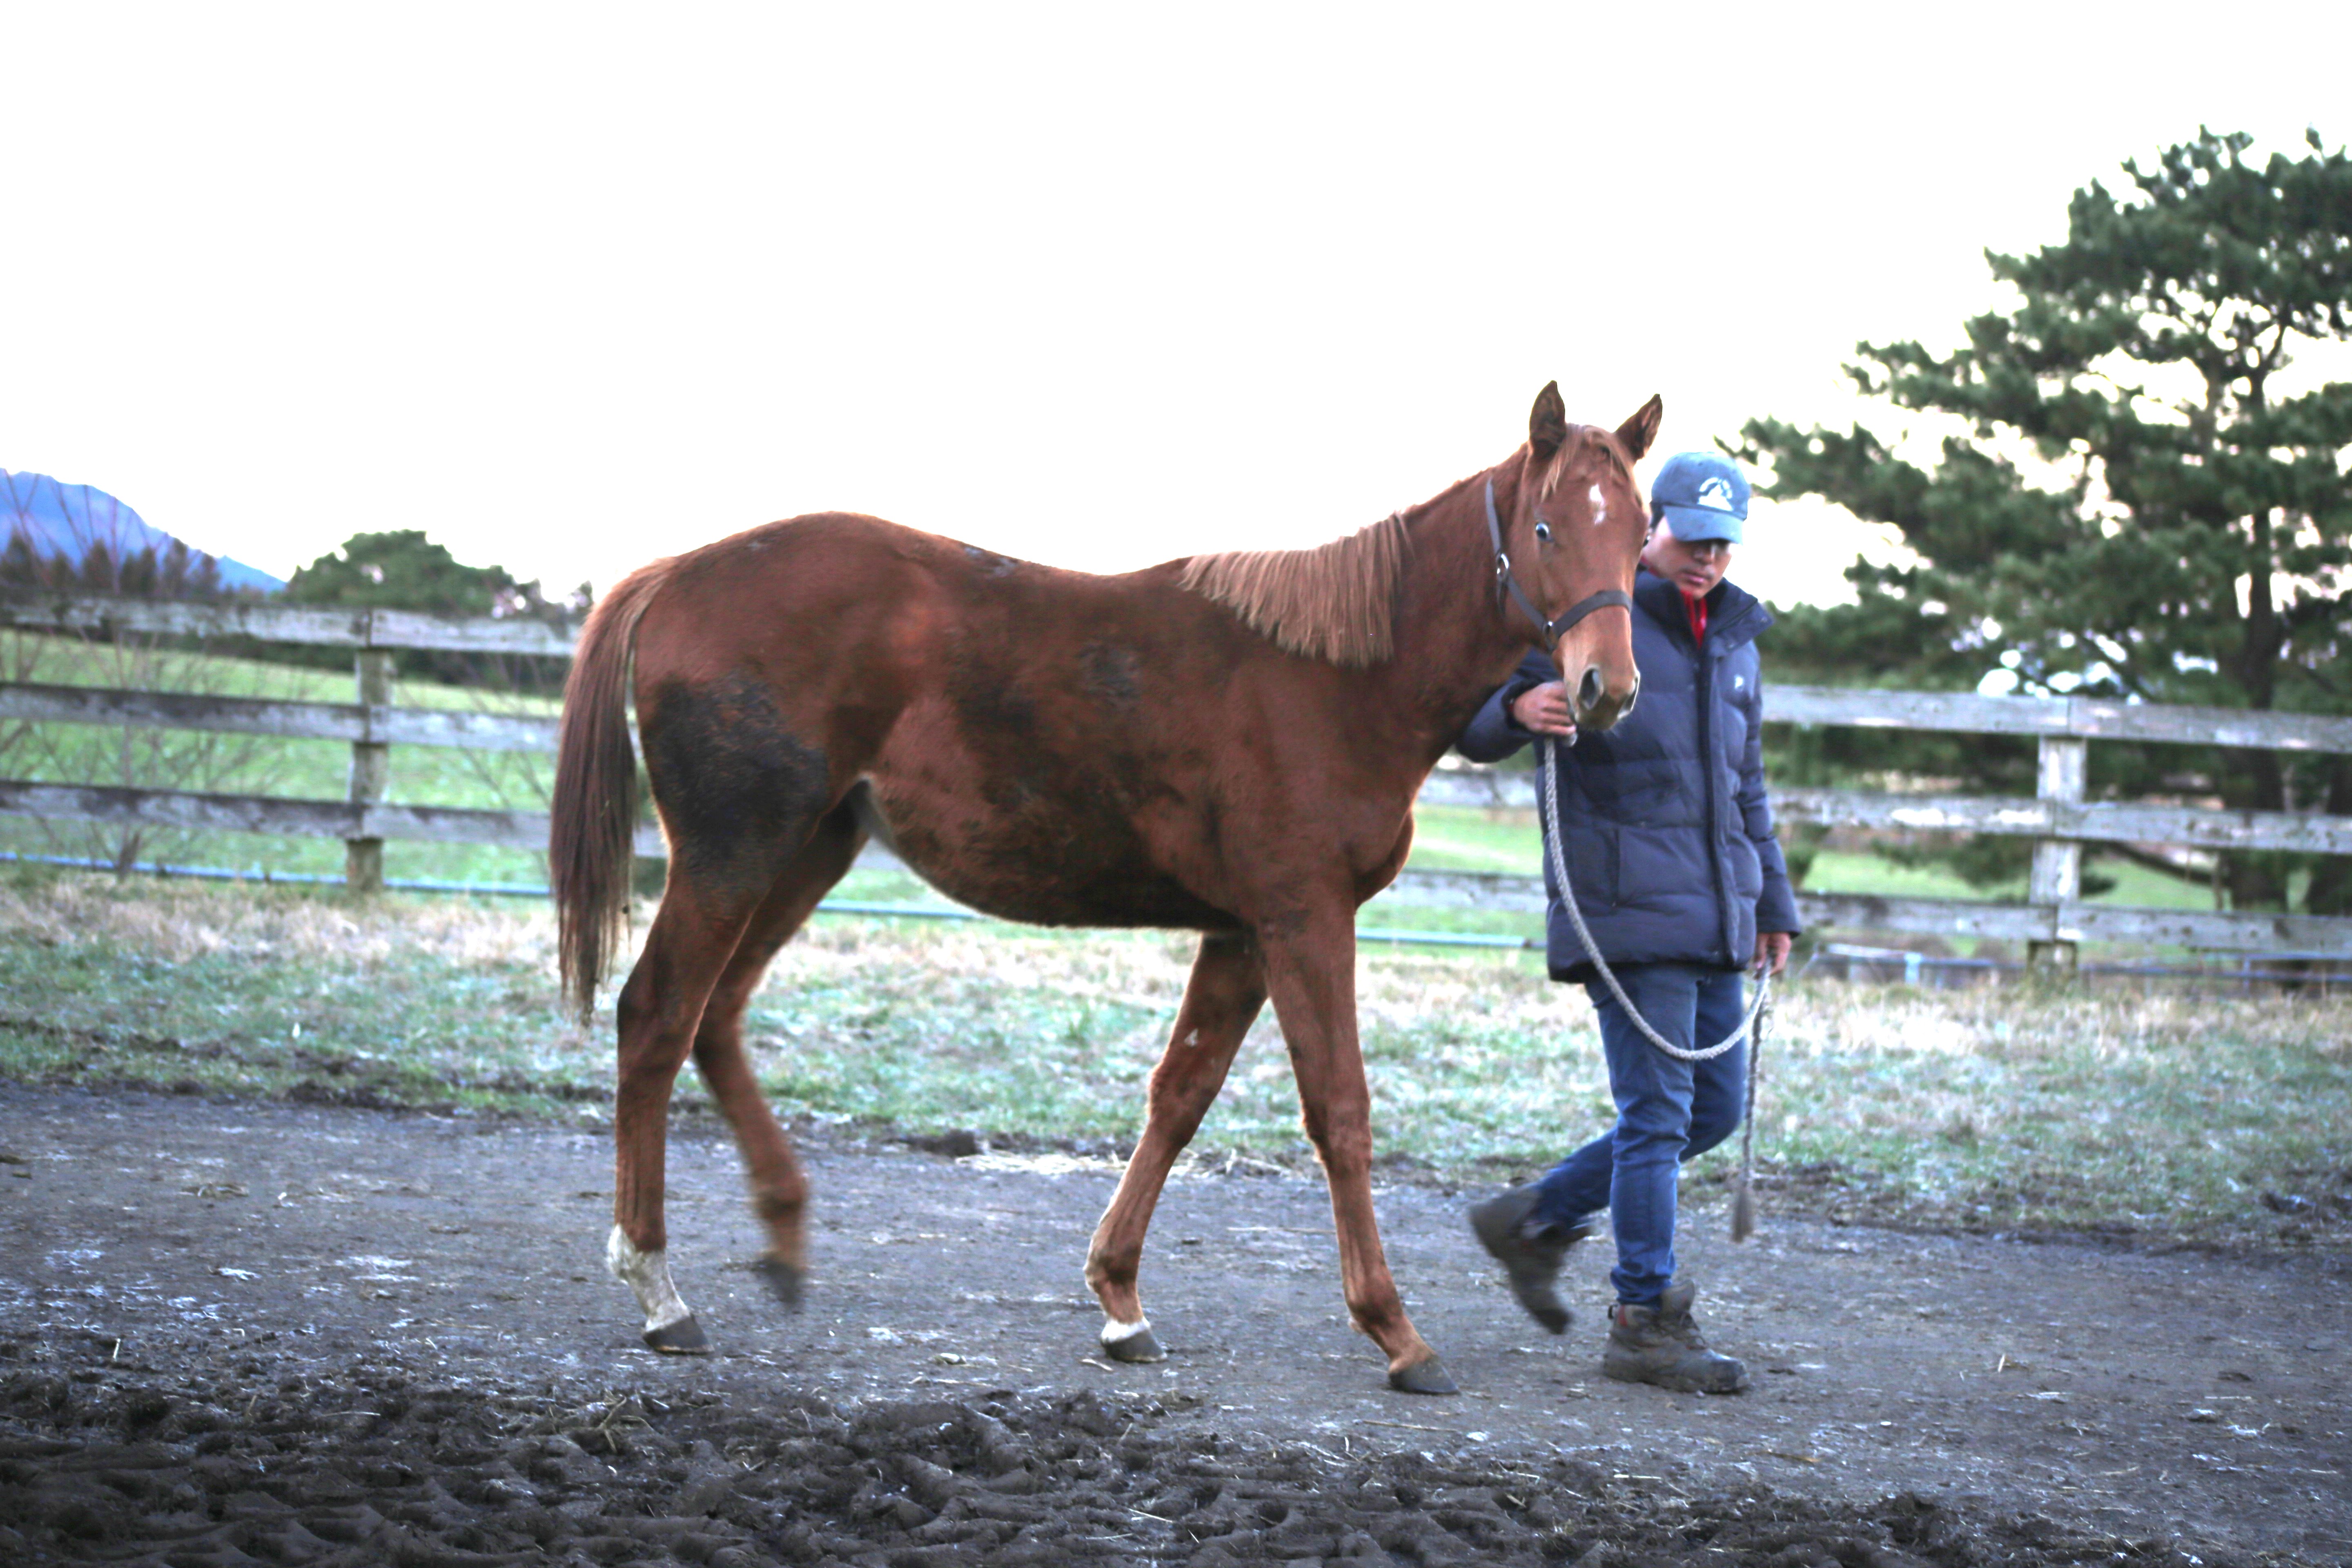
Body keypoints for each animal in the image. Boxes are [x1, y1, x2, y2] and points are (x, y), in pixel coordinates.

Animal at [548, 383, 1656, 1401]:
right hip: (735, 855)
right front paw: (1396, 1331)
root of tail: (674, 574)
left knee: (714, 1017)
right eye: (1548, 527)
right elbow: (1338, 1110)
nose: (1605, 689)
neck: (1338, 678)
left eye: (1639, 534)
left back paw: (778, 1239)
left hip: (804, 852)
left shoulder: (1241, 933)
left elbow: (1180, 1096)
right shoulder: (1303, 918)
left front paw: (1120, 1300)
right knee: (657, 1016)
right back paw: (658, 1289)